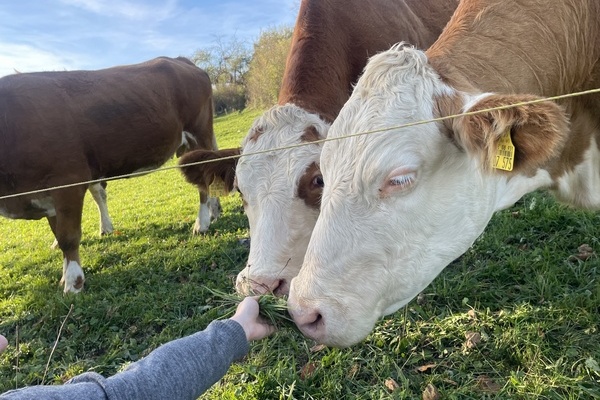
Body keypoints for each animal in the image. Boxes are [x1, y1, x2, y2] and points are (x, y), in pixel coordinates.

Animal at [0, 56, 220, 292]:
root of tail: (178, 60)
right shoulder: (46, 195)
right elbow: (58, 234)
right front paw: (65, 277)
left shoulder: (68, 181)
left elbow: (68, 237)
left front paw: (74, 282)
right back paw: (214, 212)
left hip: (198, 133)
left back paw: (202, 223)